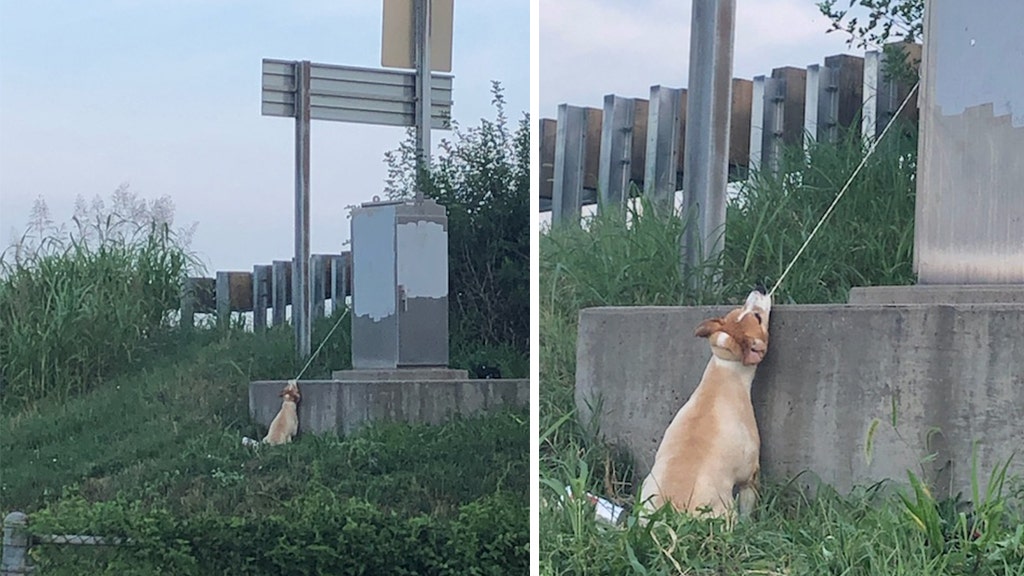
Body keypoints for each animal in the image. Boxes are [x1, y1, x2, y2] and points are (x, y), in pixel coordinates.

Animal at [634, 289, 770, 518]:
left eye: (741, 308)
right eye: (758, 318)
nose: (758, 290)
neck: (726, 367)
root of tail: (670, 516)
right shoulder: (750, 474)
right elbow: (748, 505)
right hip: (724, 510)